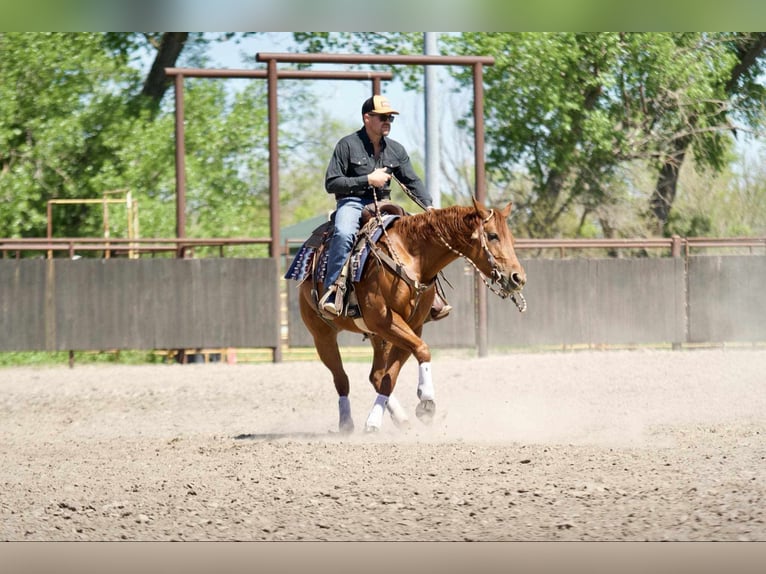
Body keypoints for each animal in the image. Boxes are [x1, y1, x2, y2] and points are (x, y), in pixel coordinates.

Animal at [292, 199, 524, 436]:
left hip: (378, 337)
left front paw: (376, 420)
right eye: (493, 235)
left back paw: (398, 418)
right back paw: (346, 422)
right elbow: (422, 349)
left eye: (512, 239)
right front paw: (427, 400)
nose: (518, 277)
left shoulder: (411, 325)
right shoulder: (383, 319)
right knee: (341, 378)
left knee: (376, 376)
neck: (411, 257)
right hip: (322, 335)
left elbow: (391, 376)